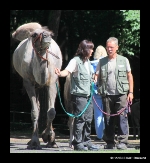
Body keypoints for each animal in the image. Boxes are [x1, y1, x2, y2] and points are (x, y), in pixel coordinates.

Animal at [11, 22, 62, 150]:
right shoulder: (28, 82)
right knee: (38, 107)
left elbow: (51, 111)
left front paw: (49, 138)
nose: (47, 36)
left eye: (51, 33)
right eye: (34, 35)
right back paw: (31, 141)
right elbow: (34, 111)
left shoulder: (52, 81)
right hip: (35, 86)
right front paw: (35, 142)